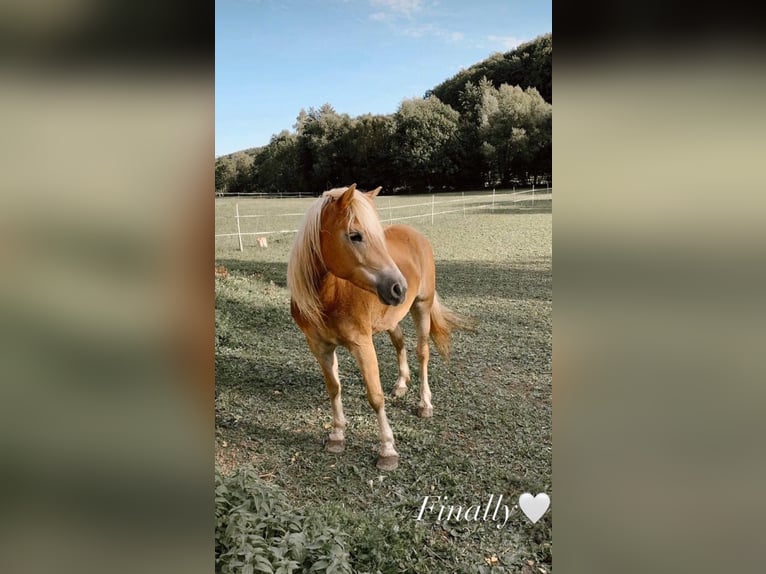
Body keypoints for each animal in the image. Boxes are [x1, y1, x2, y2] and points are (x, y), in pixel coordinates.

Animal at [287, 183, 474, 470]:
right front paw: (337, 435)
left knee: (422, 353)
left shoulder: (362, 344)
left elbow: (375, 396)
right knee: (400, 343)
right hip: (391, 319)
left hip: (422, 307)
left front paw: (387, 450)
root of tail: (416, 235)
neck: (330, 295)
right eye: (355, 235)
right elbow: (334, 389)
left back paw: (424, 403)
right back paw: (401, 385)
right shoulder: (320, 347)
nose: (399, 288)